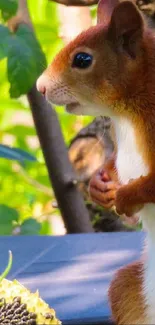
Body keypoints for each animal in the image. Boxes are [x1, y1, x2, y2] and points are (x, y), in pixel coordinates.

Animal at [37, 0, 155, 322]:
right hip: (128, 288)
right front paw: (99, 184)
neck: (126, 112)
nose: (39, 87)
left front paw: (126, 196)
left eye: (82, 59)